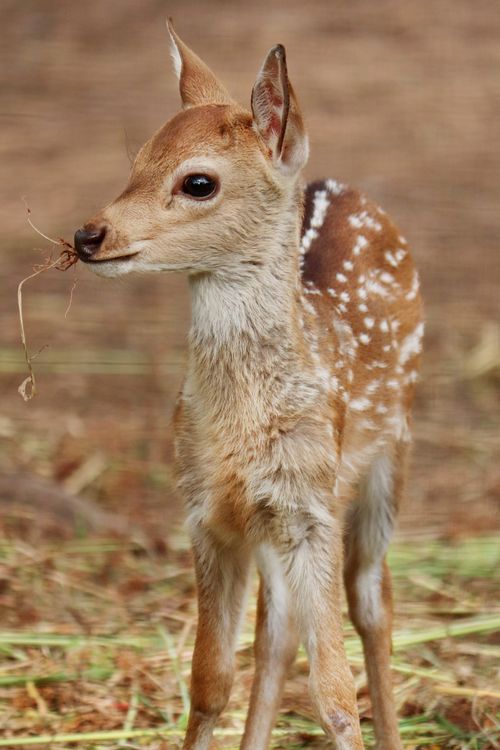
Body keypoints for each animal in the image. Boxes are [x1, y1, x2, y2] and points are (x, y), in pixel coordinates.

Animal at [73, 21, 423, 750]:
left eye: (198, 181)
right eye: (138, 158)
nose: (88, 234)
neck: (242, 426)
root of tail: (346, 185)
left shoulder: (311, 505)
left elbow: (335, 694)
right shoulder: (207, 512)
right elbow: (210, 681)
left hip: (389, 453)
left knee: (373, 601)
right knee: (277, 633)